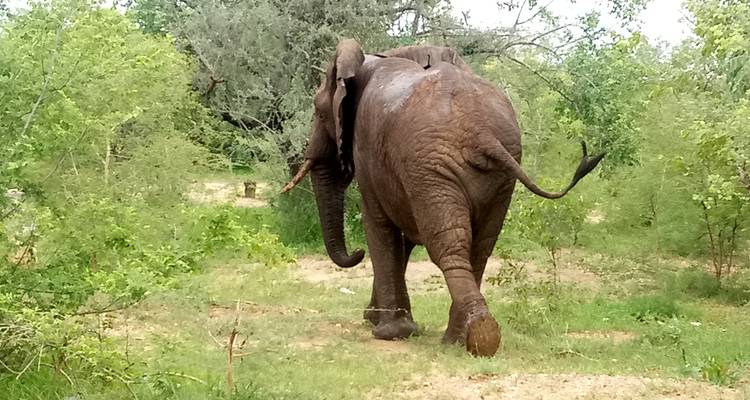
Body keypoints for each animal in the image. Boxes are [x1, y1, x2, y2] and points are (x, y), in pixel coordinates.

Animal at [283, 39, 604, 356]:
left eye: (318, 111)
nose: (356, 253)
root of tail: (480, 131)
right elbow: (404, 239)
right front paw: (385, 321)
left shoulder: (370, 151)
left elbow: (380, 226)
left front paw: (388, 332)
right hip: (493, 172)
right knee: (479, 247)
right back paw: (463, 338)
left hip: (433, 166)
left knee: (447, 246)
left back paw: (476, 336)